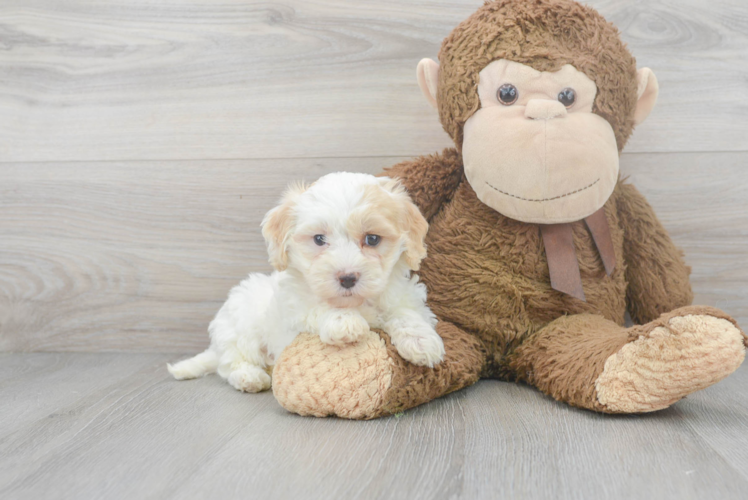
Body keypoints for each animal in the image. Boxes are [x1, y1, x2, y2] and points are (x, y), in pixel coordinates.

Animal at [168, 174, 444, 392]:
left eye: (373, 239)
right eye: (319, 239)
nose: (347, 277)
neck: (354, 303)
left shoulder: (404, 297)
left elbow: (405, 313)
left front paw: (422, 341)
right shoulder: (293, 307)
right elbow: (316, 307)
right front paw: (344, 322)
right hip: (241, 326)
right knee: (230, 363)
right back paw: (249, 377)